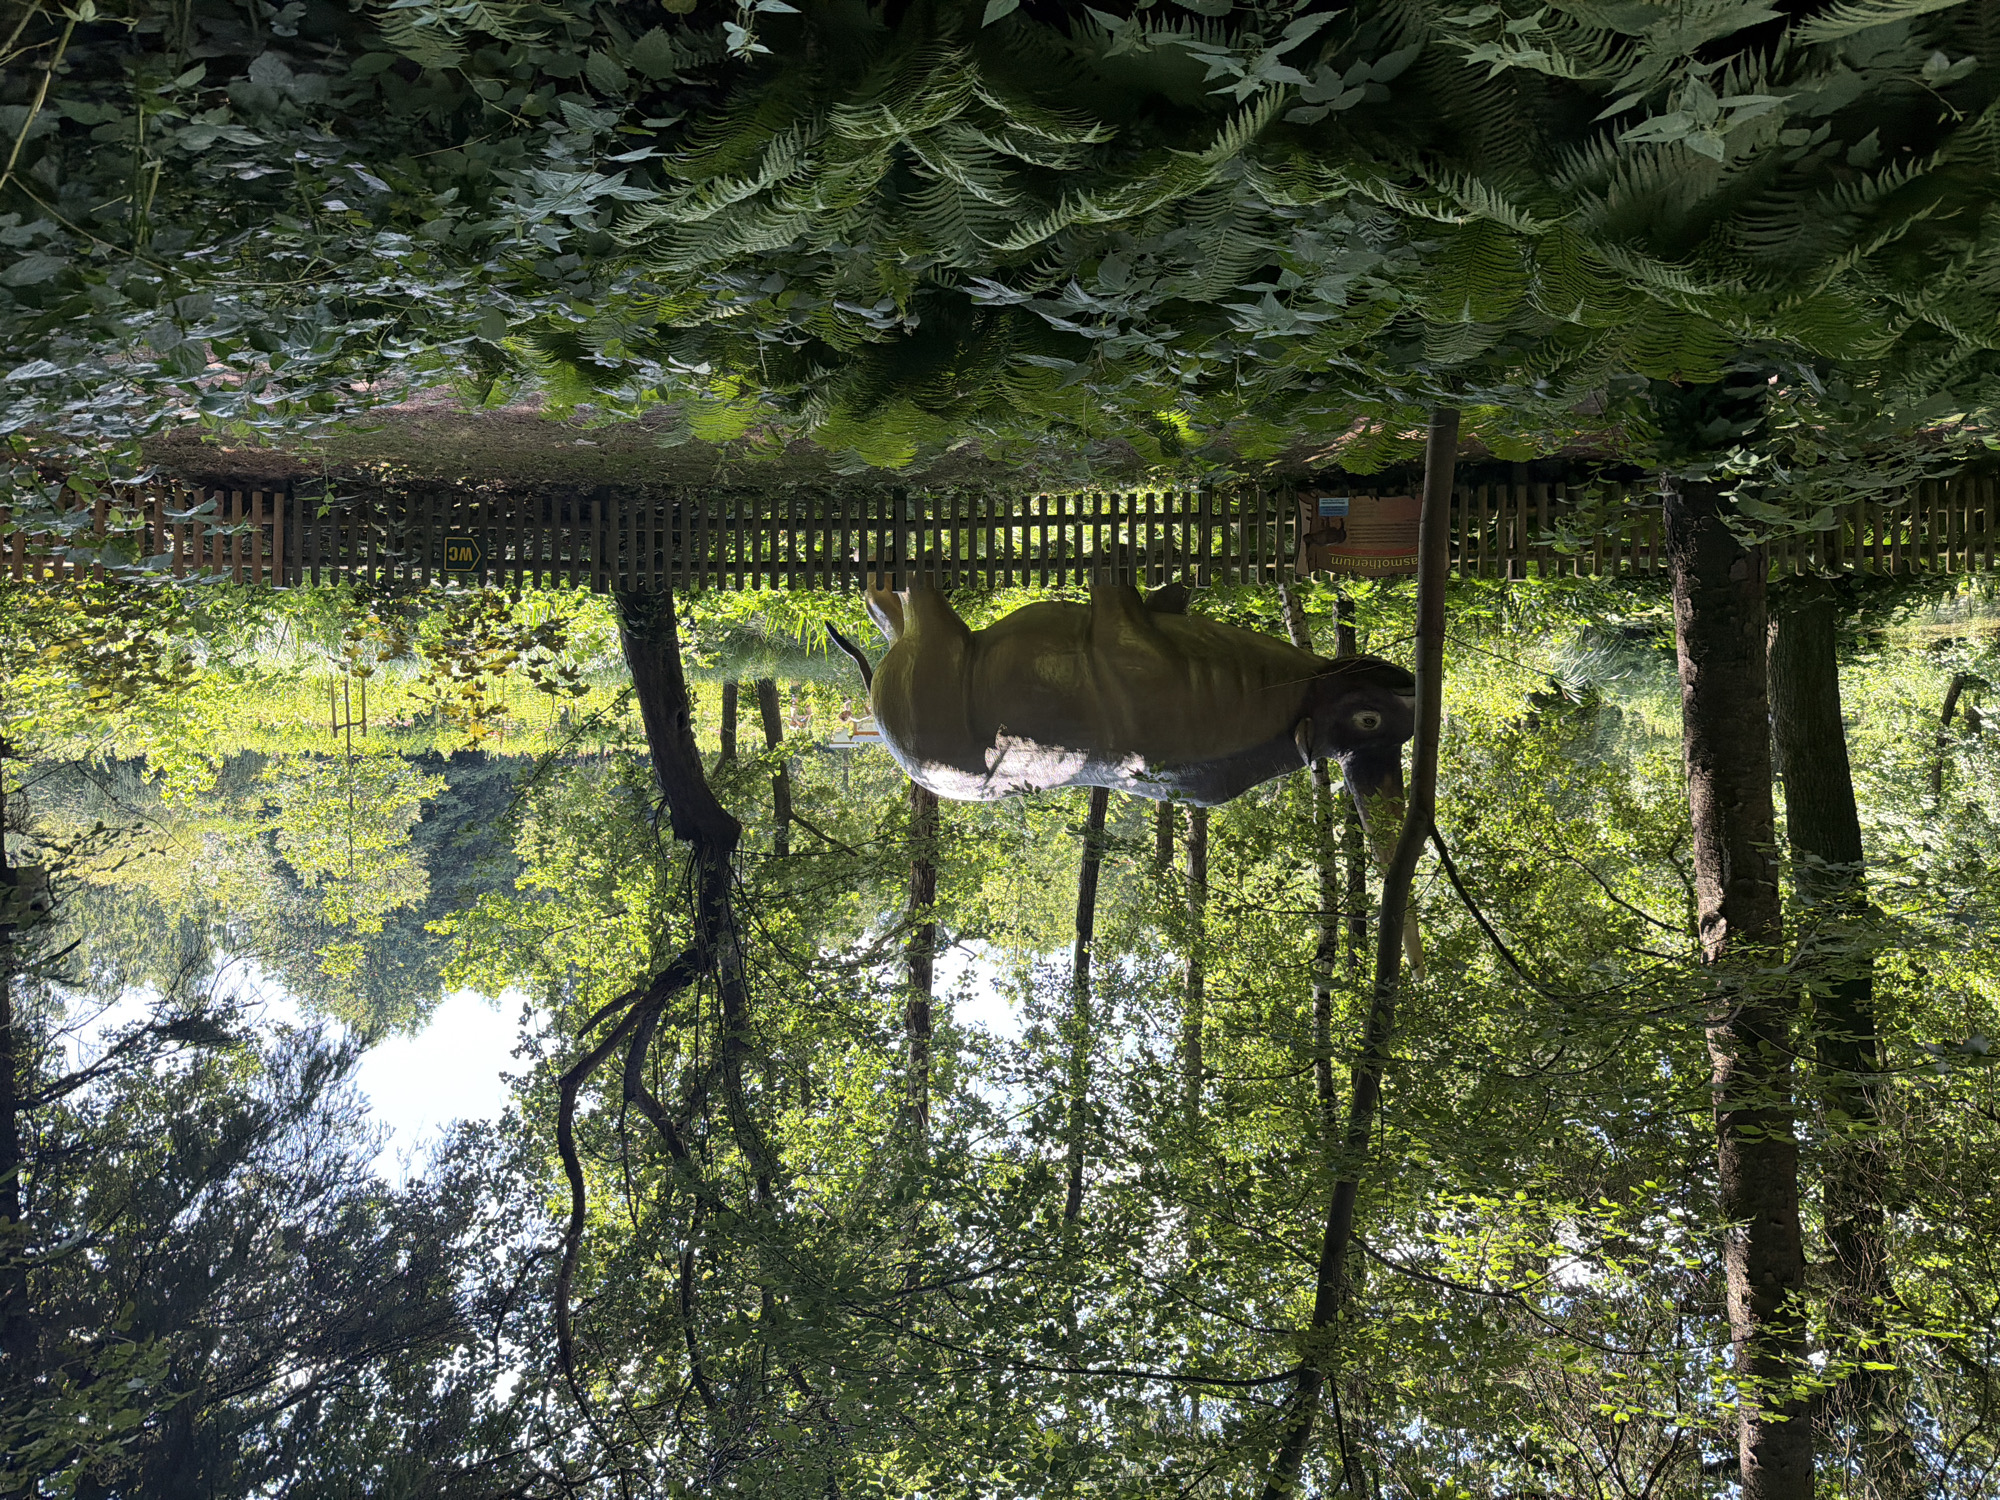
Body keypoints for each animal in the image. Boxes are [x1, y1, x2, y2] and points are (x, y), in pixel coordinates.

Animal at [829, 580, 1417, 822]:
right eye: (1371, 720)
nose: (1413, 687)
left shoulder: (1126, 635)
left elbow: (1114, 588)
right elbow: (1158, 593)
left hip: (932, 654)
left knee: (909, 608)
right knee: (897, 612)